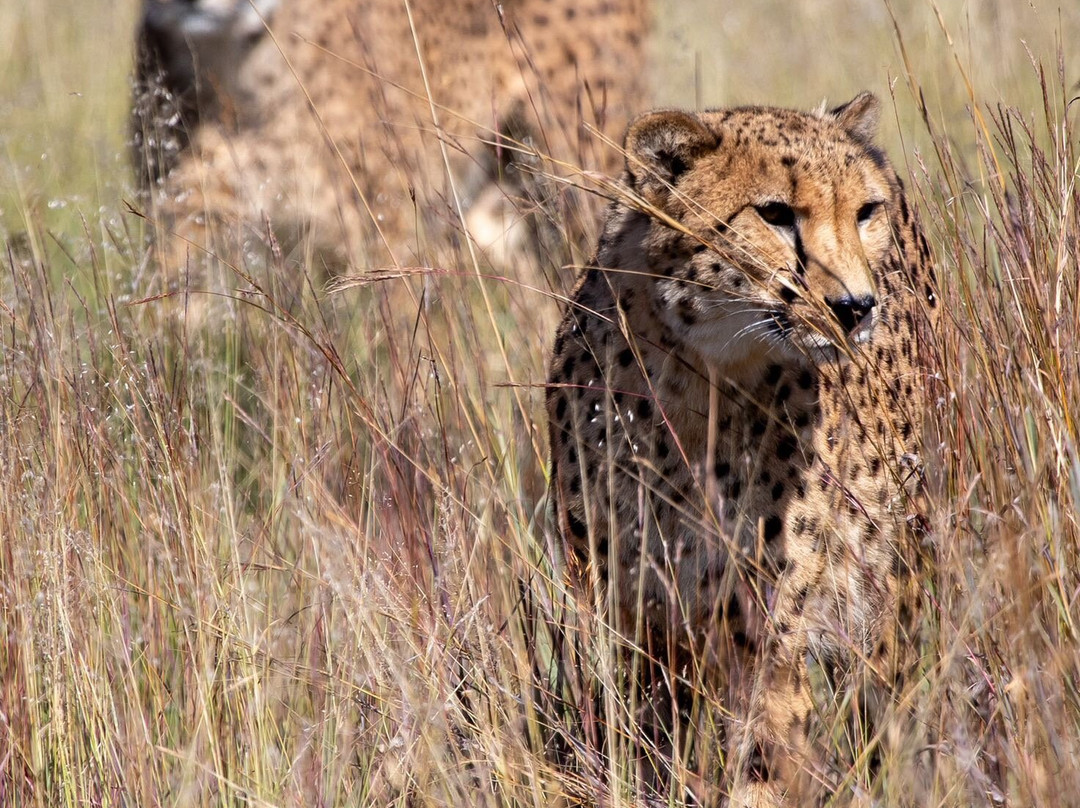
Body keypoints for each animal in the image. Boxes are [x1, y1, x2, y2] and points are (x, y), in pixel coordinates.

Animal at [545, 93, 938, 806]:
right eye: (775, 213)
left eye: (864, 212)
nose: (857, 306)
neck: (698, 379)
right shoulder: (635, 609)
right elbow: (645, 736)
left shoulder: (768, 625)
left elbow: (766, 749)